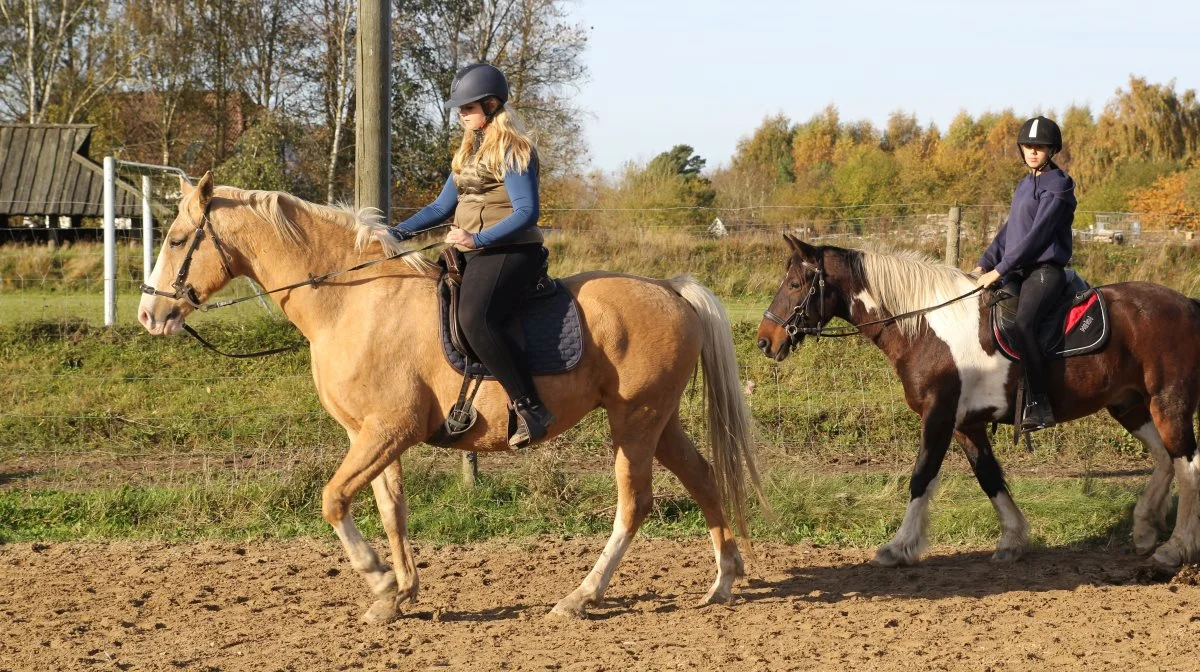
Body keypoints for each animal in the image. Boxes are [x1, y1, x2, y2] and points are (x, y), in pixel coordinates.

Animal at [138, 174, 758, 624]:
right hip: (658, 422)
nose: (148, 314)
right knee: (703, 478)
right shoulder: (372, 434)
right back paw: (723, 582)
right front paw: (396, 594)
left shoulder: (389, 430)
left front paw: (380, 578)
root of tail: (670, 289)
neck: (353, 302)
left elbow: (334, 500)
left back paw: (580, 597)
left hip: (634, 423)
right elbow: (391, 510)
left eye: (175, 239)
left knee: (634, 506)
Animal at [758, 236, 1200, 571]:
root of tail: (1186, 304)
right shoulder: (965, 424)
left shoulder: (938, 417)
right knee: (1164, 458)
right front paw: (1013, 539)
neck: (927, 328)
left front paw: (899, 546)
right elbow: (989, 477)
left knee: (1187, 466)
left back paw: (1175, 548)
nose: (765, 340)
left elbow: (921, 477)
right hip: (1129, 404)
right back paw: (1145, 528)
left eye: (795, 284)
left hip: (1169, 402)